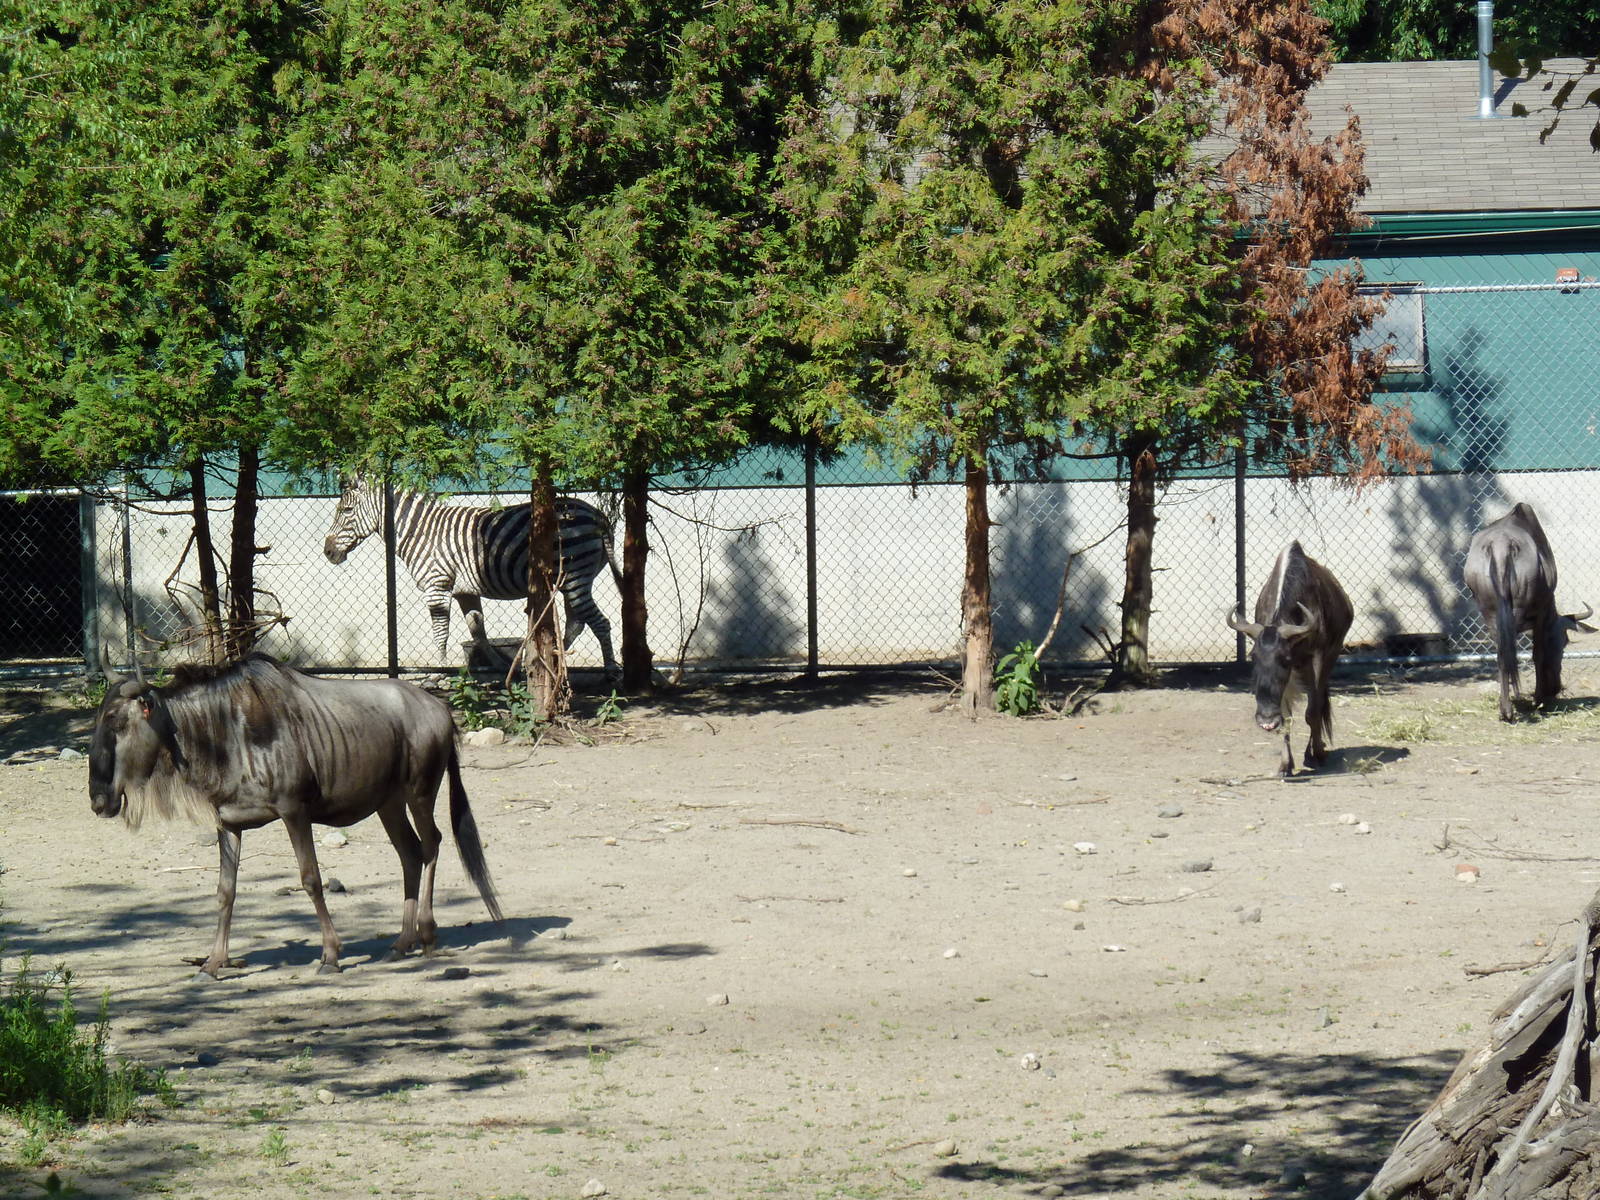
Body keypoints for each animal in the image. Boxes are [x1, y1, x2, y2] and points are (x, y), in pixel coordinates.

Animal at [323, 475, 622, 674]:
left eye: (346, 510)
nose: (327, 552)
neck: (421, 531)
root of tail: (597, 514)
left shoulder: (437, 586)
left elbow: (440, 633)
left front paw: (440, 673)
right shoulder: (465, 591)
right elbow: (478, 632)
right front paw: (499, 668)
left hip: (575, 575)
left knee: (599, 622)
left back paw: (609, 672)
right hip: (572, 578)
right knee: (577, 623)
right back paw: (545, 661)